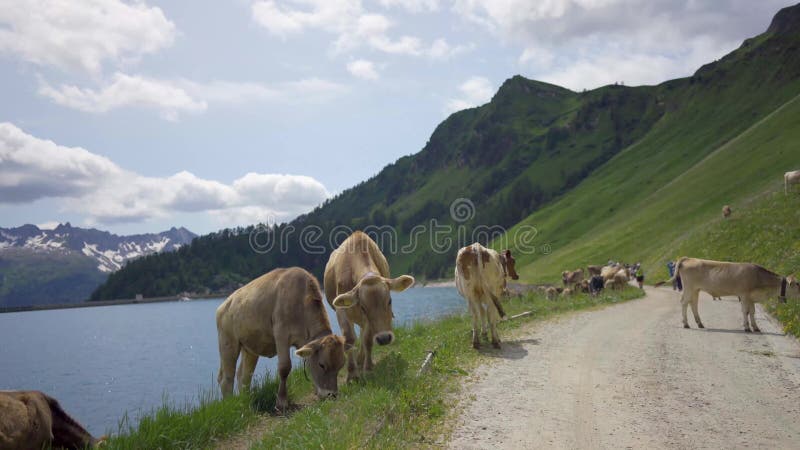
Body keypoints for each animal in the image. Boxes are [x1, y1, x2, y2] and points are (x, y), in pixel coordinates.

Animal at [216, 268, 346, 412]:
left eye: (341, 365)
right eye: (322, 365)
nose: (331, 395)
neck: (301, 303)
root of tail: (226, 303)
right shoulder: (281, 335)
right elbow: (285, 367)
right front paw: (282, 402)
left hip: (250, 348)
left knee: (244, 376)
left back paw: (246, 403)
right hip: (228, 342)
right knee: (226, 378)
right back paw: (230, 405)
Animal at [324, 230, 416, 382]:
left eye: (389, 301)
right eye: (363, 307)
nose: (384, 338)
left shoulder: (367, 321)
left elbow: (367, 339)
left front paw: (368, 369)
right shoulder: (341, 310)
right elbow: (349, 339)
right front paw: (352, 375)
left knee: (363, 334)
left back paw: (362, 359)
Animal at [656, 256, 800, 330]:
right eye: (798, 284)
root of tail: (688, 258)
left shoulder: (751, 298)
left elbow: (752, 312)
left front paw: (756, 327)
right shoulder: (744, 295)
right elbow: (745, 311)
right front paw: (747, 327)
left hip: (695, 289)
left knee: (693, 304)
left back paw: (700, 323)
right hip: (689, 287)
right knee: (684, 302)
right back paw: (686, 324)